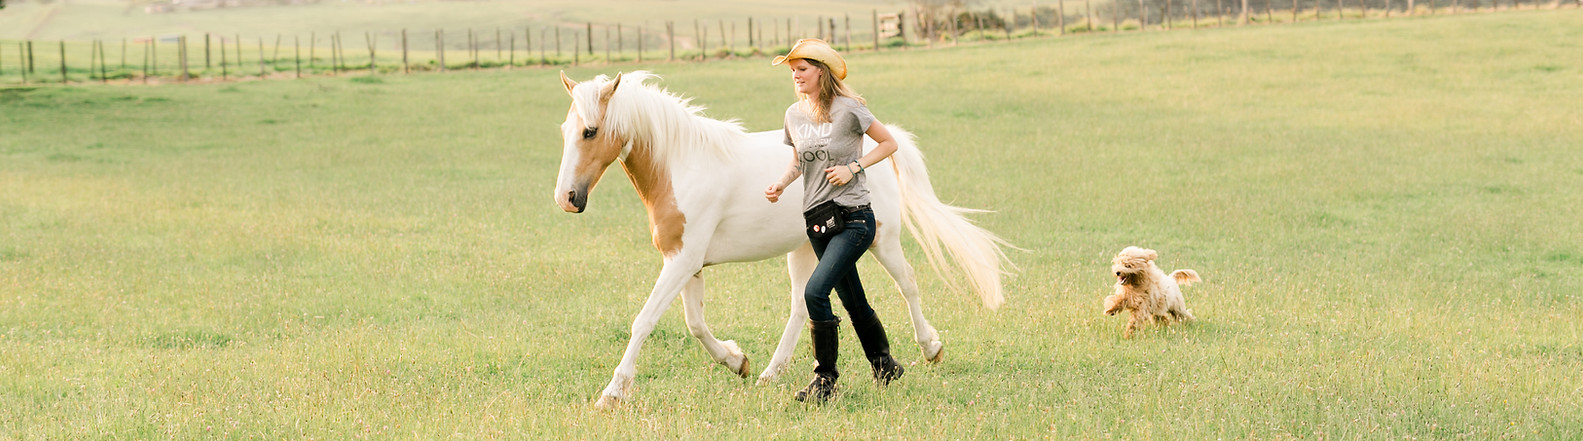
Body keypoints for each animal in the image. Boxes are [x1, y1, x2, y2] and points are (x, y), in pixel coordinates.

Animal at [553, 71, 1013, 408]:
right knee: (802, 306)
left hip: (881, 240)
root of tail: (871, 147)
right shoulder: (686, 261)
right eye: (564, 129)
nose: (566, 199)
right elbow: (695, 324)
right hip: (807, 249)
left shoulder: (682, 262)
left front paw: (611, 394)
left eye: (591, 131)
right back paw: (770, 373)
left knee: (908, 284)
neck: (683, 165)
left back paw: (929, 348)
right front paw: (736, 361)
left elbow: (645, 321)